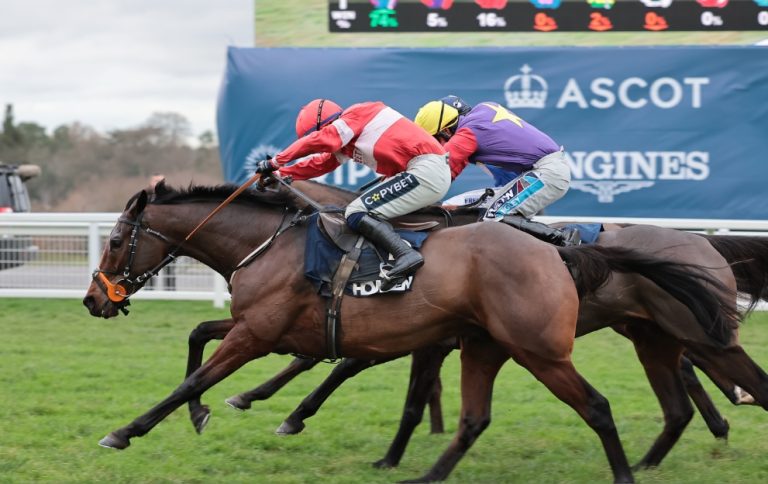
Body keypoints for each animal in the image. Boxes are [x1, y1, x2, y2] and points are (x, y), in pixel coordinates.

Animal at [82, 182, 736, 484]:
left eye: (114, 240)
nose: (92, 299)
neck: (269, 243)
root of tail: (558, 253)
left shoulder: (259, 335)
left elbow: (193, 379)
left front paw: (125, 432)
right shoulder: (270, 330)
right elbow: (199, 336)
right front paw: (210, 412)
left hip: (540, 348)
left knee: (602, 404)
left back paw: (636, 465)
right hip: (491, 345)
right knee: (478, 417)